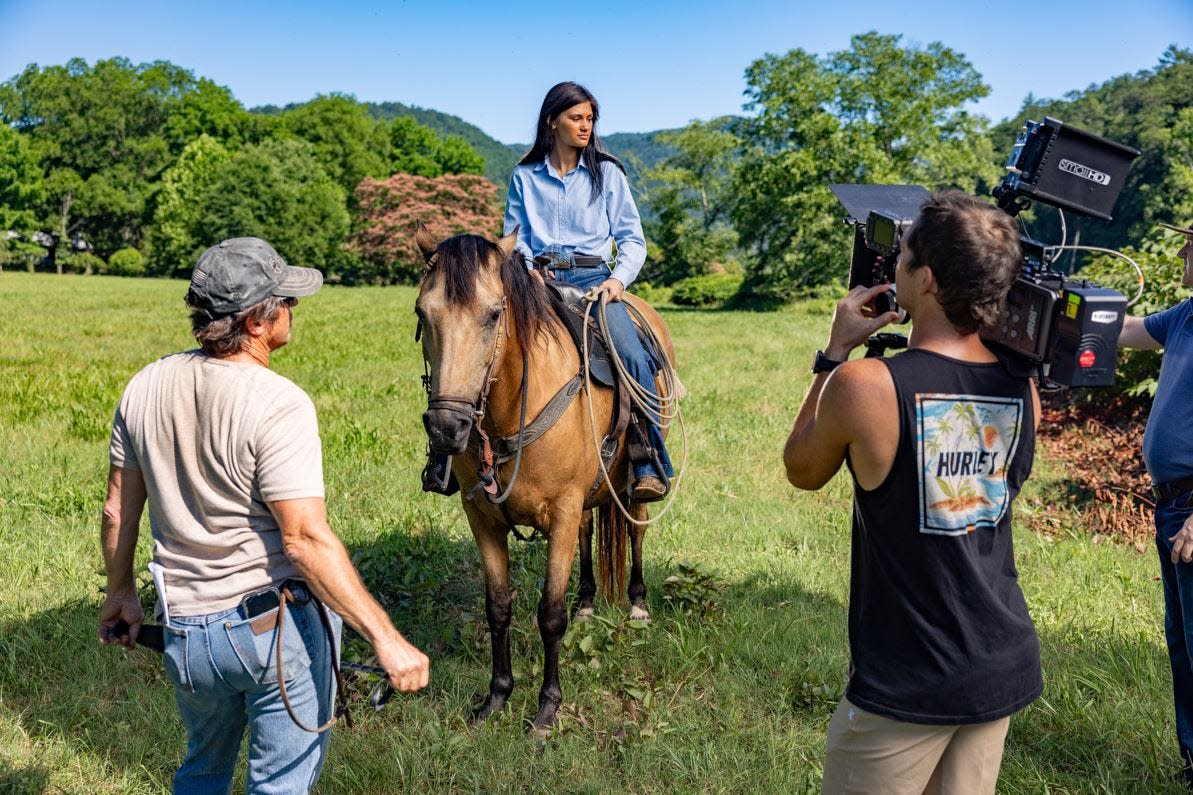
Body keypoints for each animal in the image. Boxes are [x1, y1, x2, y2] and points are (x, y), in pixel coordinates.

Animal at [412, 223, 677, 730]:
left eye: (494, 314)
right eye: (422, 311)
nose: (446, 427)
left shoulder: (562, 509)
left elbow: (549, 614)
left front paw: (547, 709)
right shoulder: (483, 518)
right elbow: (499, 608)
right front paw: (495, 698)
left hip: (632, 483)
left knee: (635, 528)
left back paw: (637, 604)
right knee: (590, 532)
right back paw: (588, 603)